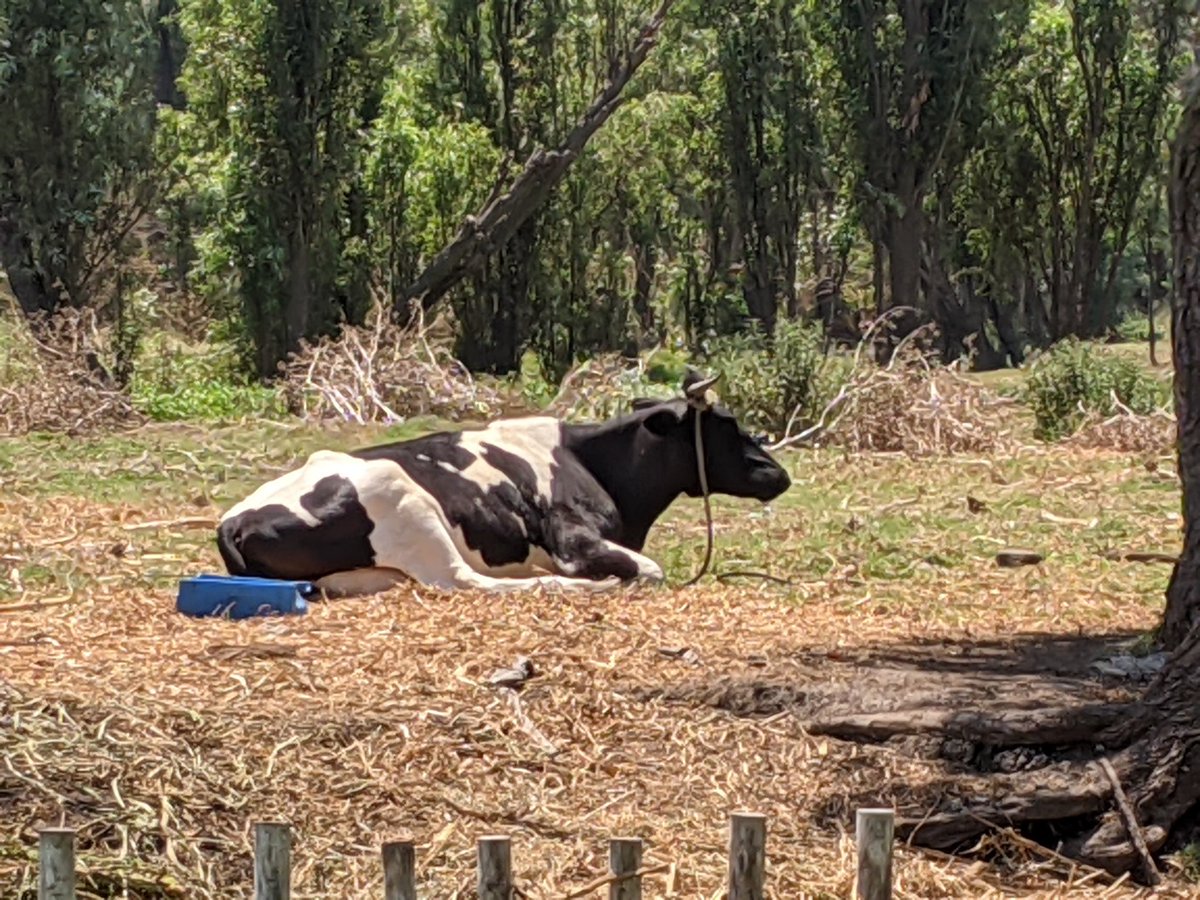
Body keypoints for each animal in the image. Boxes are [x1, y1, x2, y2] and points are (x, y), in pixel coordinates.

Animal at [217, 374, 792, 600]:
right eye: (727, 425)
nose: (779, 473)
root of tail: (234, 519)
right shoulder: (574, 541)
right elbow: (650, 571)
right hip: (407, 502)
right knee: (467, 581)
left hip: (369, 571)